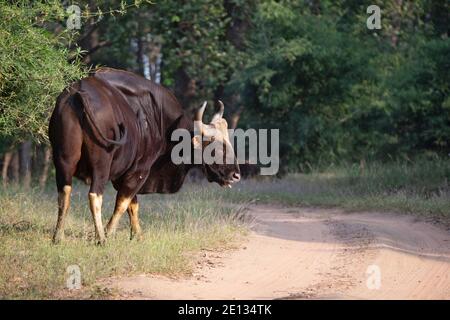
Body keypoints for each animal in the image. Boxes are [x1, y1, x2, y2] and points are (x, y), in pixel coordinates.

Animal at [48, 67, 239, 242]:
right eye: (216, 146)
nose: (235, 175)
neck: (158, 121)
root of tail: (79, 94)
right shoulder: (139, 171)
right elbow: (123, 203)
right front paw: (109, 233)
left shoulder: (127, 174)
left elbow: (132, 205)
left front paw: (137, 235)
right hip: (101, 165)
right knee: (94, 195)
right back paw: (101, 238)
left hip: (64, 160)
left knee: (64, 193)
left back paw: (58, 236)